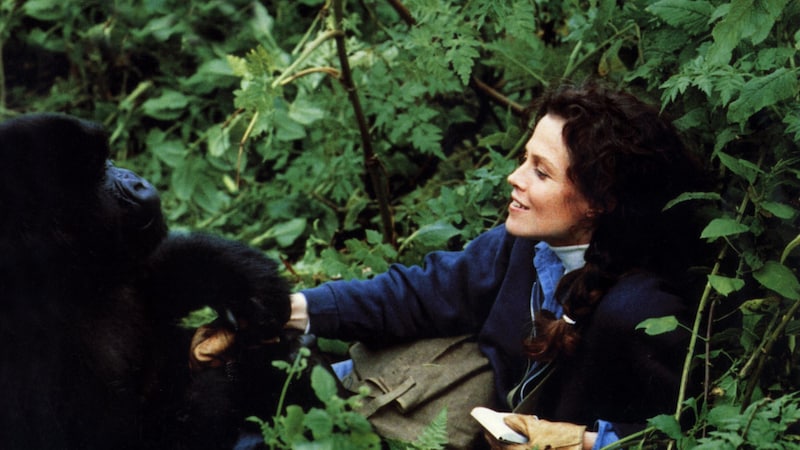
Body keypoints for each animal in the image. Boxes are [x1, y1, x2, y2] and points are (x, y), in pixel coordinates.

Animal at [0, 114, 318, 448]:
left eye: (107, 161)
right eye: (99, 173)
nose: (135, 179)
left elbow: (156, 287)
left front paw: (242, 282)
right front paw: (258, 368)